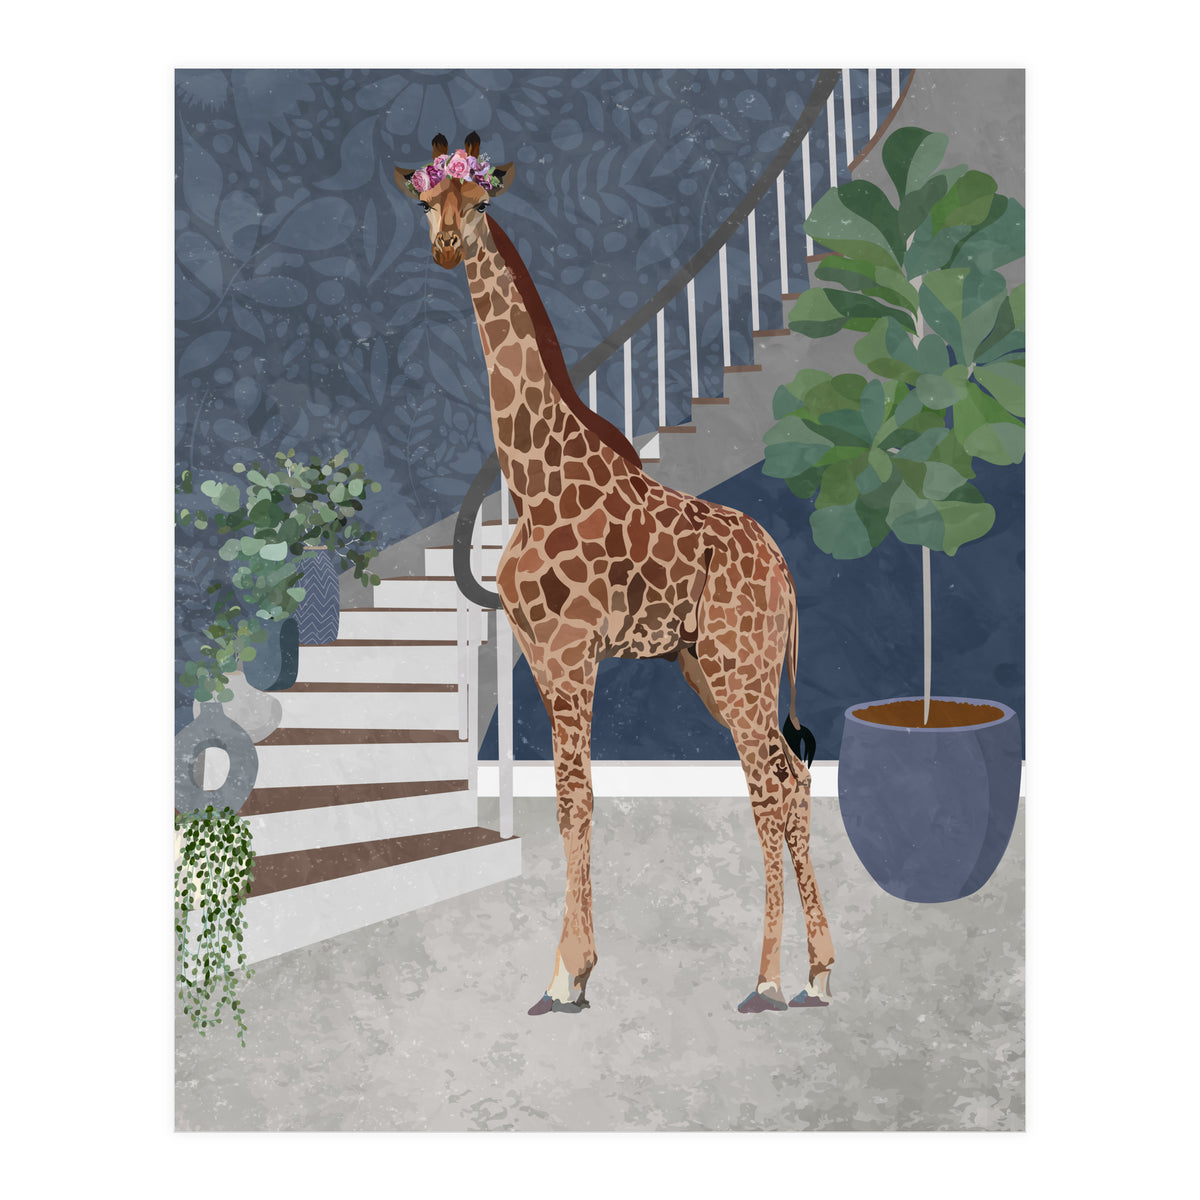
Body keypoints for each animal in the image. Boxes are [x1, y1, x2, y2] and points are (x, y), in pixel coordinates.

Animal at [395, 133, 835, 1015]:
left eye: (482, 200)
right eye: (426, 201)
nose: (448, 246)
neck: (532, 477)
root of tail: (785, 570)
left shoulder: (572, 654)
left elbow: (578, 796)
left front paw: (568, 973)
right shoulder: (537, 653)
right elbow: (570, 802)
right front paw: (572, 969)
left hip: (740, 668)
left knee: (769, 788)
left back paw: (767, 978)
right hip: (714, 667)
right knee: (793, 776)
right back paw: (819, 972)